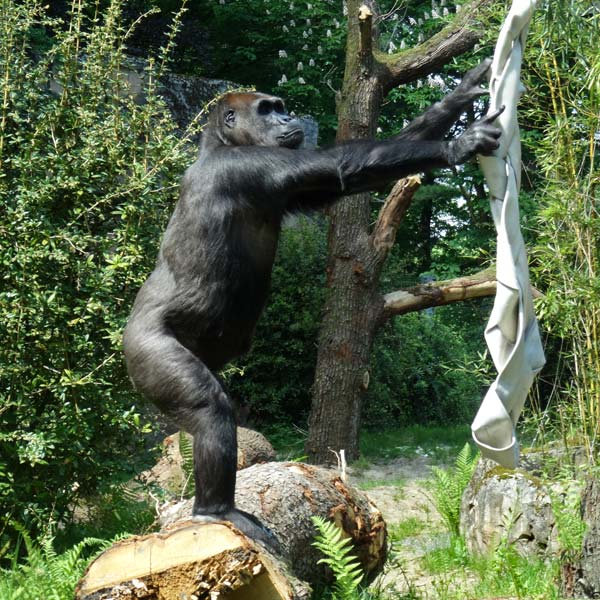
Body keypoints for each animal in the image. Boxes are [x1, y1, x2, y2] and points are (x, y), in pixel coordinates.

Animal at [122, 59, 502, 544]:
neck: (218, 145)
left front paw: (459, 95)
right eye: (267, 110)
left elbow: (343, 179)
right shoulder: (249, 166)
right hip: (146, 352)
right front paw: (459, 144)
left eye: (279, 107)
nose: (287, 118)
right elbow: (341, 165)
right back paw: (215, 510)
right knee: (208, 409)